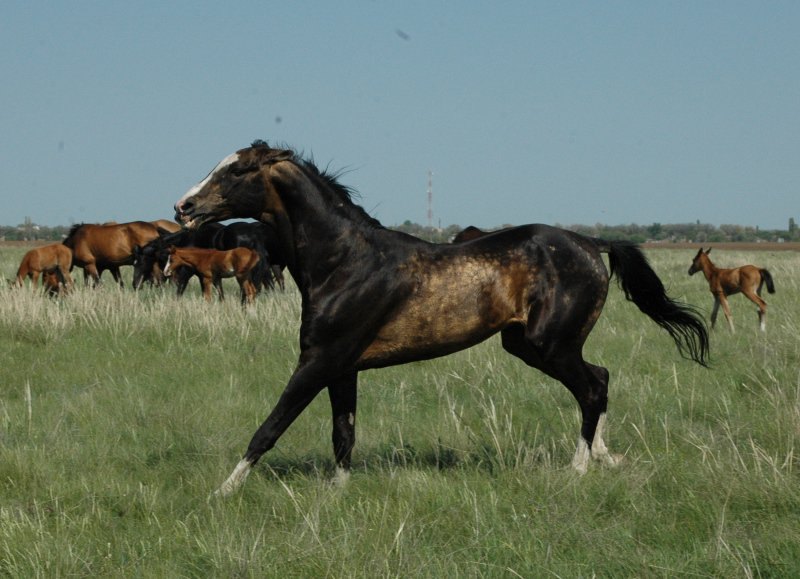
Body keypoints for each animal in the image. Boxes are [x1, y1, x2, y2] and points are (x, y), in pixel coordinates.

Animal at [173, 142, 708, 498]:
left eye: (238, 170)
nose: (184, 207)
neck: (344, 262)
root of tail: (593, 244)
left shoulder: (318, 360)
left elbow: (271, 426)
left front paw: (222, 492)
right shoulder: (343, 367)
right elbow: (343, 433)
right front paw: (337, 495)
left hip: (549, 345)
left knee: (593, 388)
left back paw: (579, 469)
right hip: (530, 344)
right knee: (600, 378)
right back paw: (605, 455)